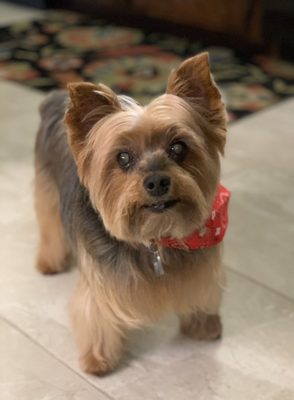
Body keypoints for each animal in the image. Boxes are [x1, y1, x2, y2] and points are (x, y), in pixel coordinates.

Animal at [34, 52, 230, 376]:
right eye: (123, 157)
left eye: (178, 148)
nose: (157, 182)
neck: (156, 237)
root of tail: (56, 97)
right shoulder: (101, 281)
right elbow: (96, 313)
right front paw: (98, 360)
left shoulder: (200, 265)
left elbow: (201, 291)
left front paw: (204, 325)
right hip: (48, 188)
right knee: (50, 226)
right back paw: (50, 262)